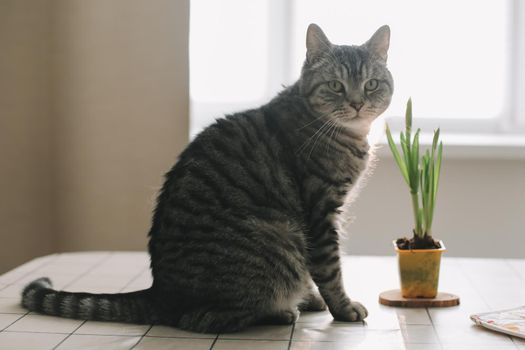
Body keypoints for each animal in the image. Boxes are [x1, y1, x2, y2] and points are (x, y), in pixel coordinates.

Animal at [20, 24, 390, 334]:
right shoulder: (320, 212)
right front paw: (342, 308)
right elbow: (329, 268)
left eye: (371, 84)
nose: (357, 103)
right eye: (335, 86)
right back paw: (280, 311)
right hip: (280, 235)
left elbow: (316, 270)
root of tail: (160, 292)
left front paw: (312, 297)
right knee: (202, 319)